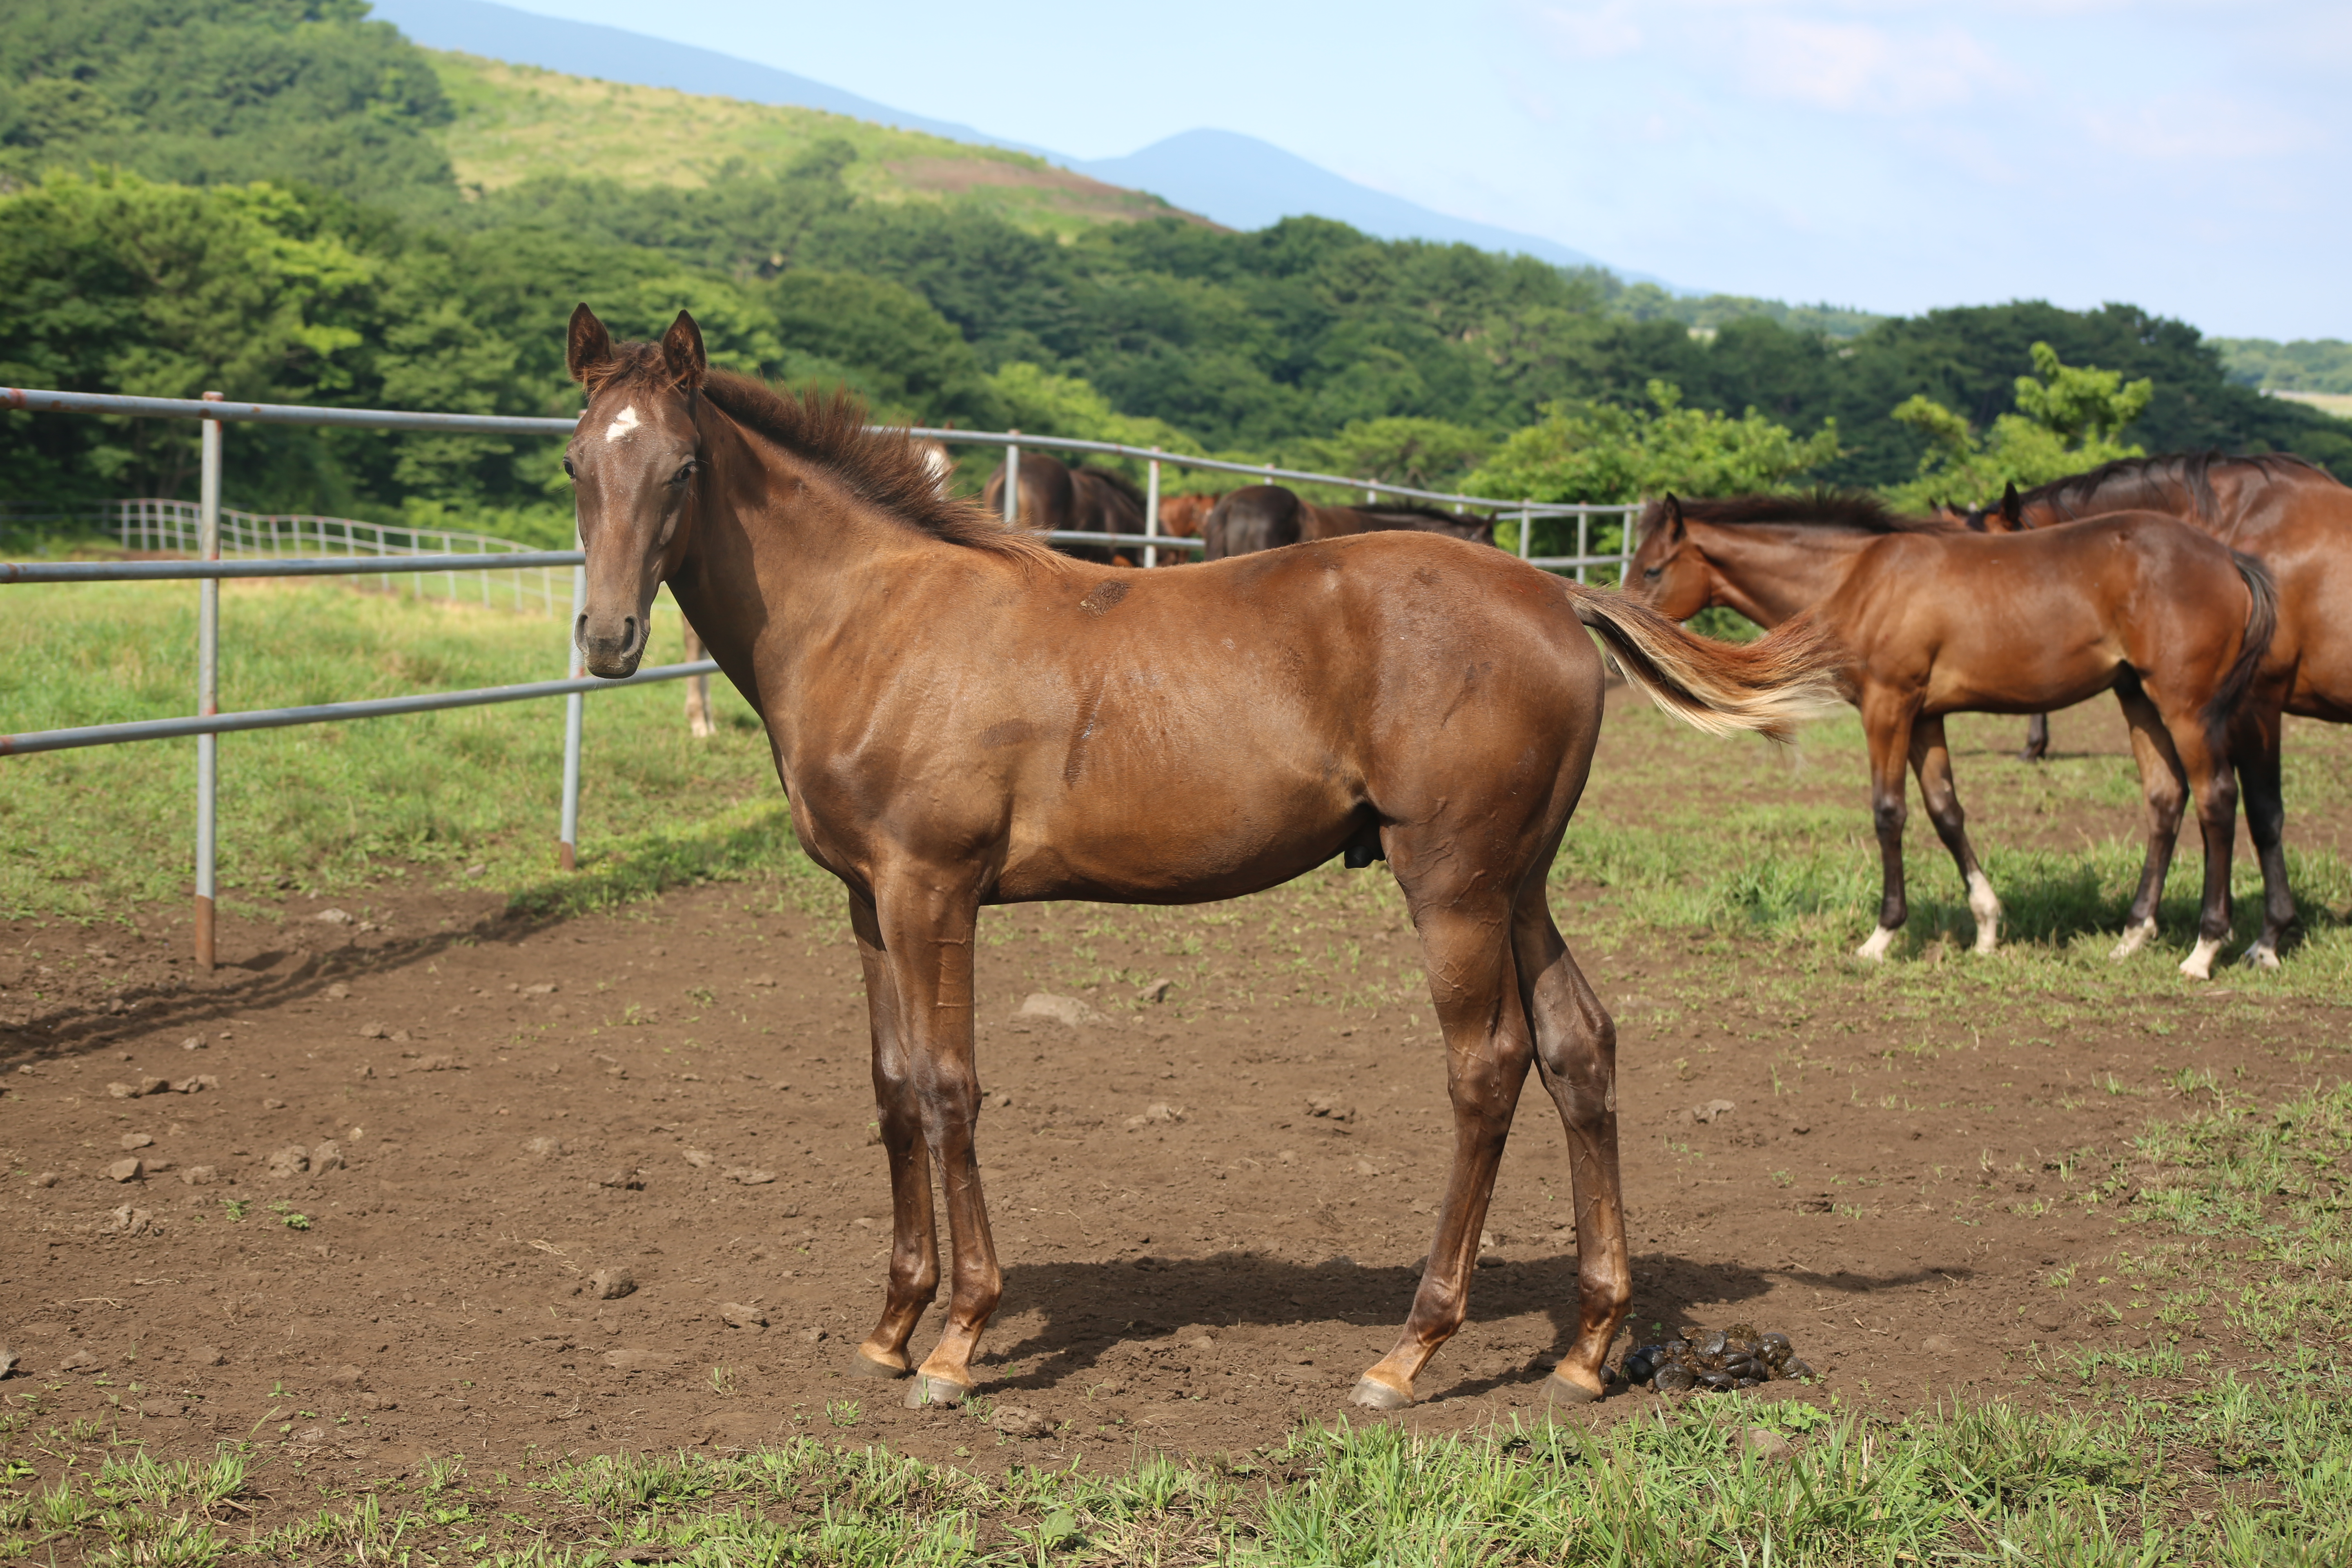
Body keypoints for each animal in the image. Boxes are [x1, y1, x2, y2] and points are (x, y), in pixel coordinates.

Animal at [559, 310, 1844, 1420]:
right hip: (1516, 883)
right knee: (1579, 1044)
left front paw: (960, 1339)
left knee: (1487, 1066)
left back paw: (1409, 1352)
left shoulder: (934, 889)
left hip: (1453, 884)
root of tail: (1555, 594)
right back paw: (1585, 1347)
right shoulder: (867, 903)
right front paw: (889, 1327)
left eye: (684, 468)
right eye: (575, 463)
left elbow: (946, 1088)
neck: (877, 623)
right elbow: (888, 1091)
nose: (610, 639)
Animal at [1627, 493, 2267, 982]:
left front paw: (1882, 936)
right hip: (2137, 698)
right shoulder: (1926, 718)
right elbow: (1945, 812)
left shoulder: (1888, 707)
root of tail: (2229, 559)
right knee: (2165, 799)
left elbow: (1889, 812)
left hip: (2185, 706)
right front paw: (1986, 926)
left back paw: (2205, 949)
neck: (1857, 579)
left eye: (1653, 569)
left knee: (2216, 801)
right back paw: (2133, 937)